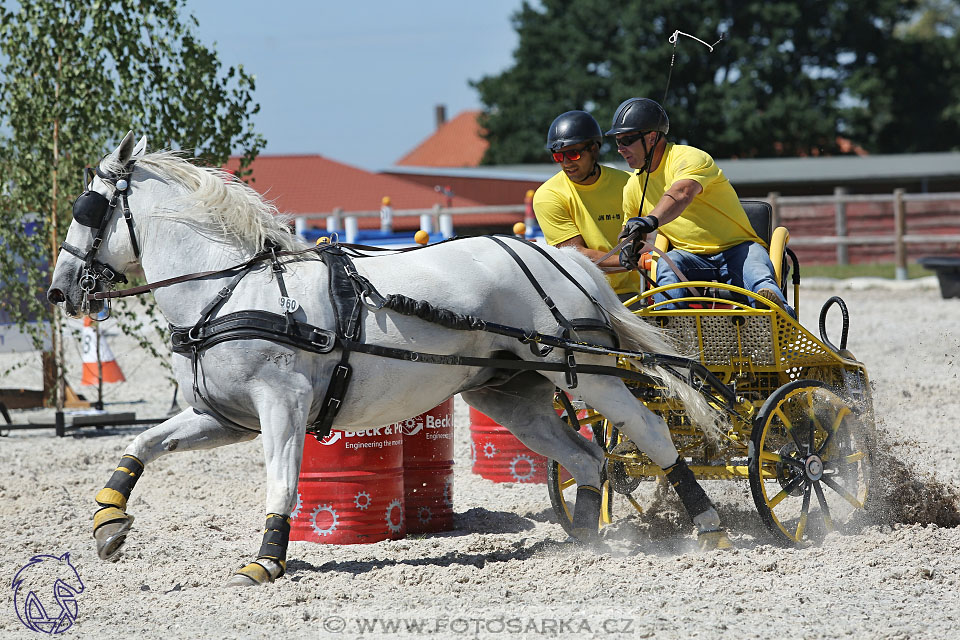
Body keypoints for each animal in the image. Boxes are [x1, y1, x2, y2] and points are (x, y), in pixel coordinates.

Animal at [48, 132, 728, 588]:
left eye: (87, 208)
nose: (58, 290)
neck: (234, 289)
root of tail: (563, 259)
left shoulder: (282, 406)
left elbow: (283, 481)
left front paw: (266, 560)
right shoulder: (225, 416)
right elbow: (142, 444)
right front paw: (108, 522)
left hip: (587, 373)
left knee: (652, 434)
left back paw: (711, 526)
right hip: (509, 394)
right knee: (587, 458)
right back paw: (587, 541)